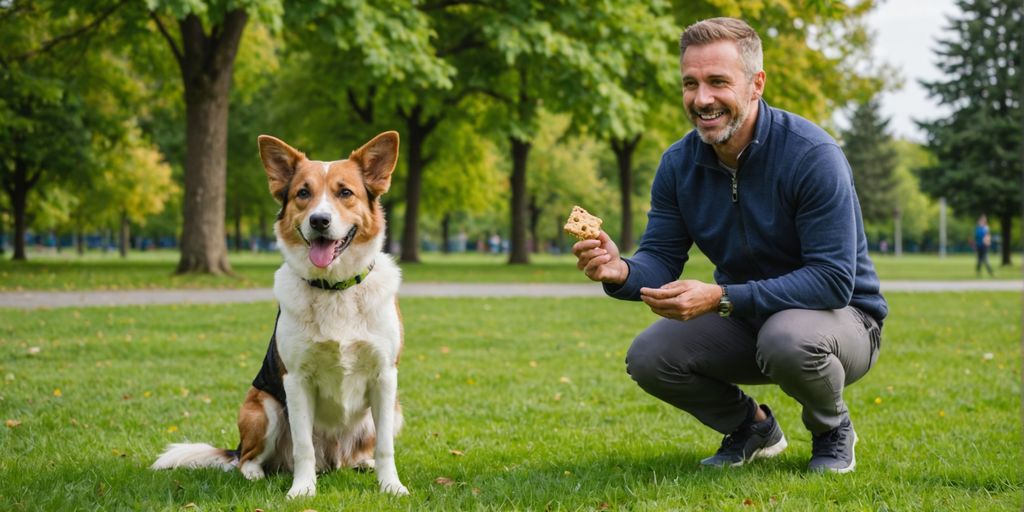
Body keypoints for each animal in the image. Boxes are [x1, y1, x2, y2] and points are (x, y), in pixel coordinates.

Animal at [151, 131, 407, 495]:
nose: (319, 221)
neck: (334, 289)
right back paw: (255, 473)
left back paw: (362, 463)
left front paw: (391, 487)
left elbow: (386, 446)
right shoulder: (296, 381)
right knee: (247, 458)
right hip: (263, 407)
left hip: (394, 408)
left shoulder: (385, 377)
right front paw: (302, 490)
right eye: (303, 193)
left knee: (357, 453)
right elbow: (303, 447)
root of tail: (334, 461)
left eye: (345, 192)